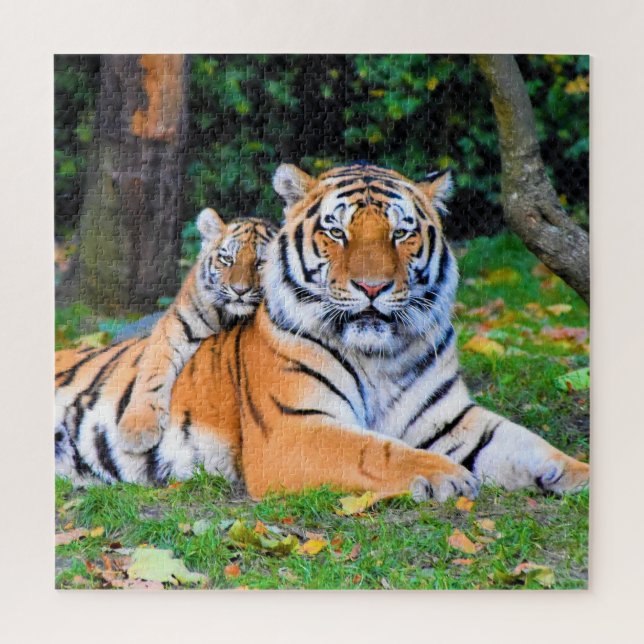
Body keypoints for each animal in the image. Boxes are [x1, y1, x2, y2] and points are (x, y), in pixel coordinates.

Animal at [55, 208, 276, 463]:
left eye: (260, 263)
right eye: (227, 259)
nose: (240, 291)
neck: (230, 316)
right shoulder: (176, 325)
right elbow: (153, 371)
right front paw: (137, 430)